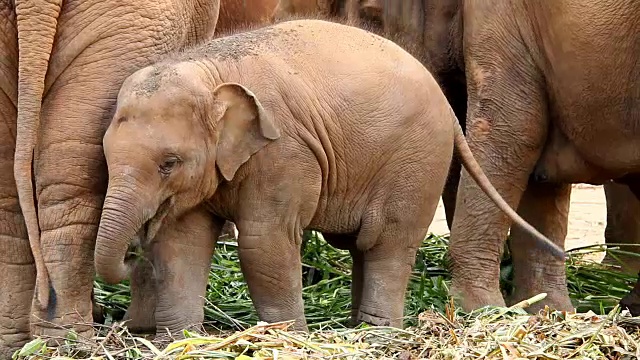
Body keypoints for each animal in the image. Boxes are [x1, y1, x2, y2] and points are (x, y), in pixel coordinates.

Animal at [92, 18, 564, 334]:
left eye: (169, 163)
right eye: (106, 159)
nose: (131, 254)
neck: (208, 68)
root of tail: (448, 106)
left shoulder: (285, 153)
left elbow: (264, 244)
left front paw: (286, 337)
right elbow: (181, 244)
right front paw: (178, 339)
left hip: (418, 161)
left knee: (389, 243)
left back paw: (377, 332)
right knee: (361, 247)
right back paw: (357, 327)